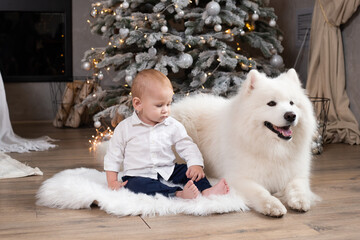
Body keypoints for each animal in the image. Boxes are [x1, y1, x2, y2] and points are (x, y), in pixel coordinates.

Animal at [170, 68, 320, 217]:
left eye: (292, 103)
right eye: (271, 103)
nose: (291, 115)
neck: (273, 149)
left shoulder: (297, 174)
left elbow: (297, 186)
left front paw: (300, 200)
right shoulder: (239, 179)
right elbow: (260, 192)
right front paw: (273, 205)